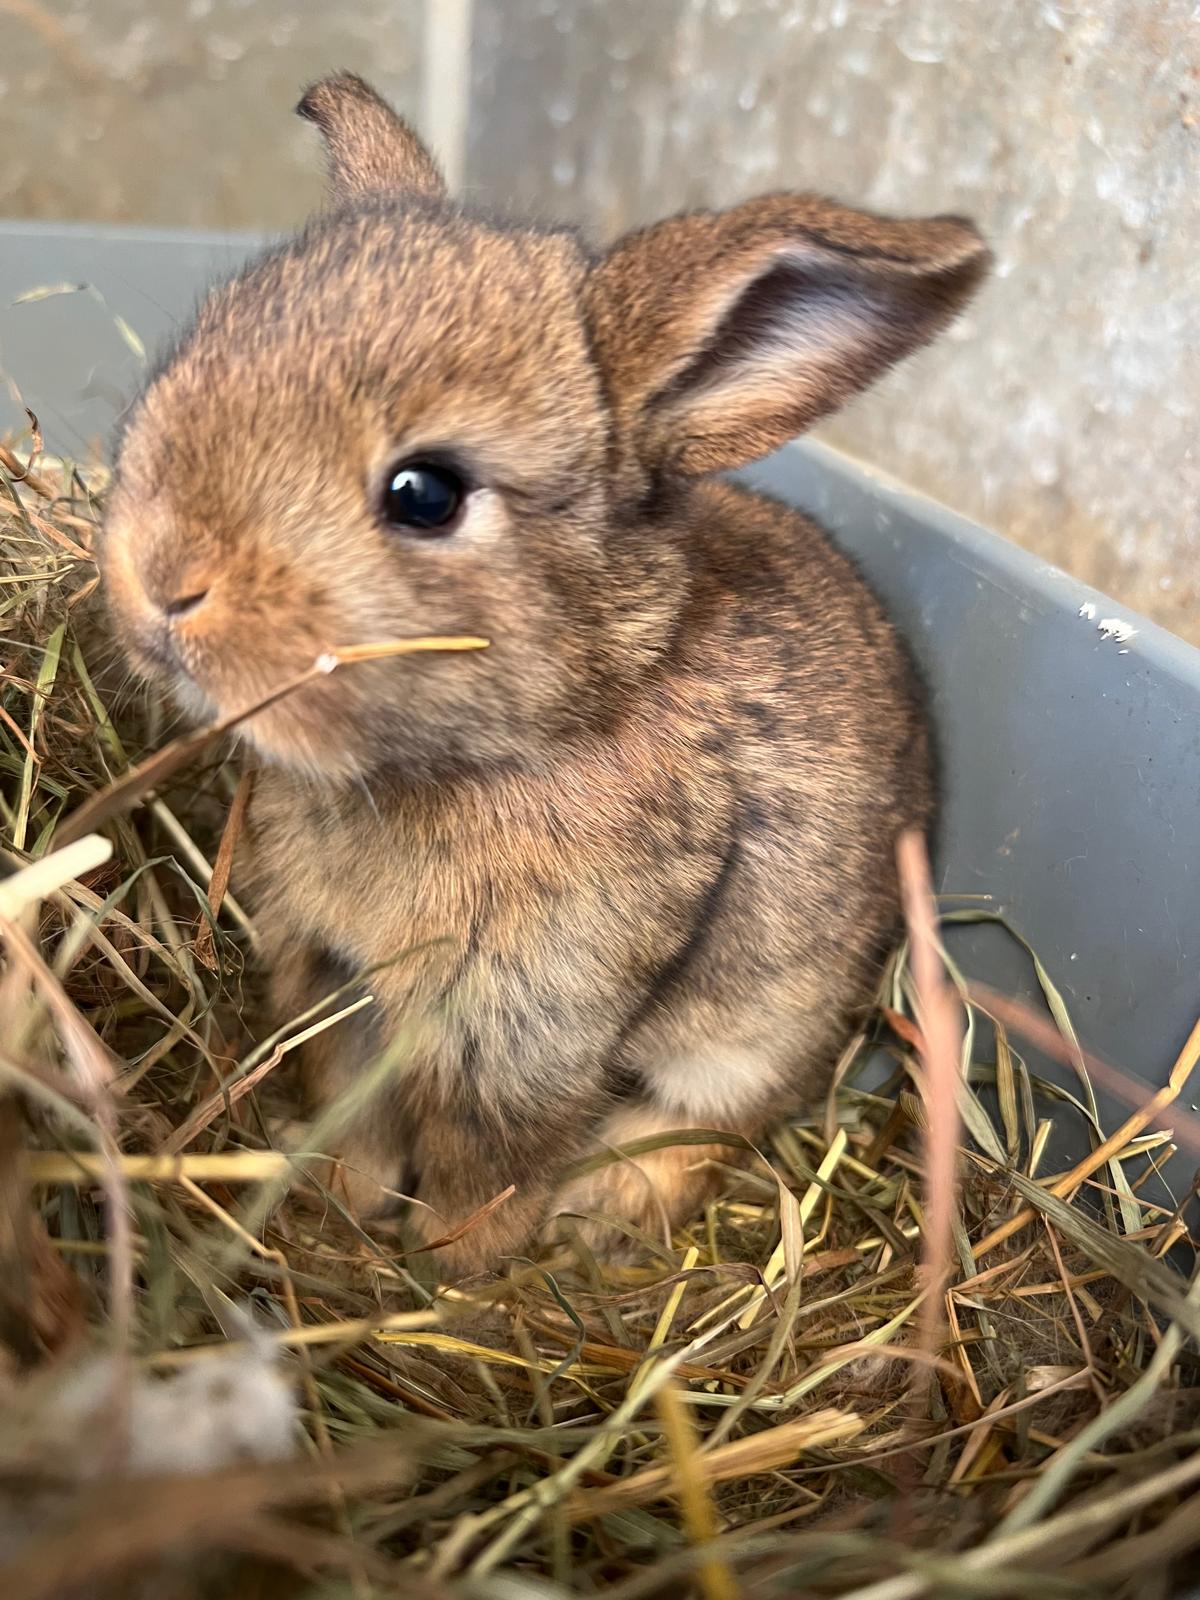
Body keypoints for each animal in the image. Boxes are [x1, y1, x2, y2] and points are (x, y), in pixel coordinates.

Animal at [101, 73, 988, 1276]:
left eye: (426, 493)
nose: (160, 578)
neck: (522, 737)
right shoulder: (338, 982)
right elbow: (353, 1104)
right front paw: (339, 1198)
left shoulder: (525, 1025)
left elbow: (488, 1163)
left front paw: (453, 1268)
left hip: (761, 1027)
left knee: (709, 1121)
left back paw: (599, 1210)